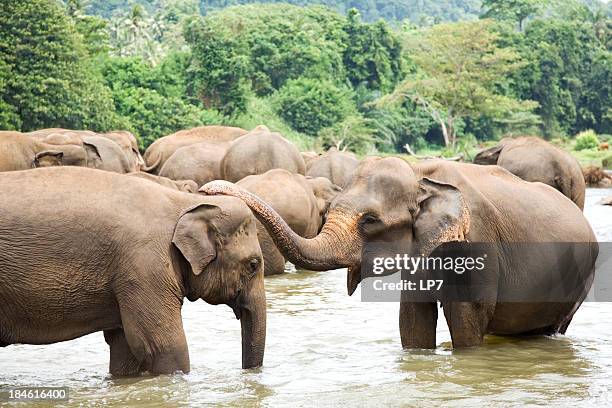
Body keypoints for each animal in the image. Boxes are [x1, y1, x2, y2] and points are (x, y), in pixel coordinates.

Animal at [202, 158, 596, 350]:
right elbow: (414, 315)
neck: (421, 175)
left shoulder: (475, 240)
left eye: (370, 221)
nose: (208, 189)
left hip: (582, 280)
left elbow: (468, 313)